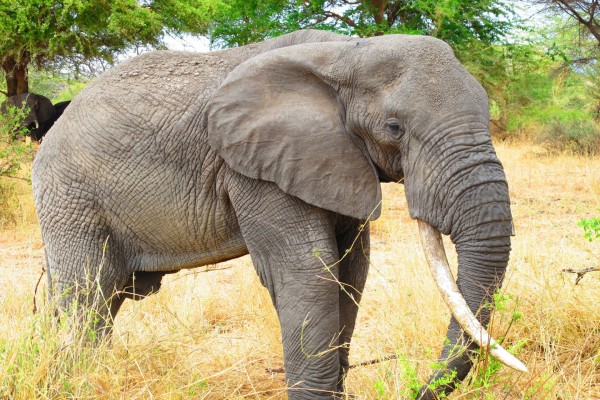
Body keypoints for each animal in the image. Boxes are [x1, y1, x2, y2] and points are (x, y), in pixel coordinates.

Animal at [32, 29, 528, 398]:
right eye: (394, 128)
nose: (418, 389)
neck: (347, 53)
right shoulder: (253, 166)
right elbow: (307, 273)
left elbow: (352, 270)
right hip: (69, 194)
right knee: (86, 295)